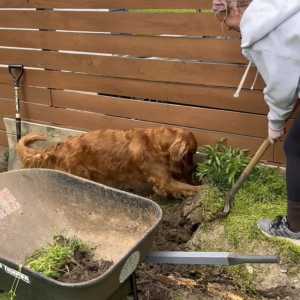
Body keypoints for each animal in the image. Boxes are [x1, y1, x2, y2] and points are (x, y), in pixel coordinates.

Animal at [15, 127, 200, 199]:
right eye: (191, 153)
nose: (193, 168)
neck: (156, 143)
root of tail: (59, 146)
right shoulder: (164, 181)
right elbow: (187, 187)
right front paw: (201, 189)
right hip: (78, 175)